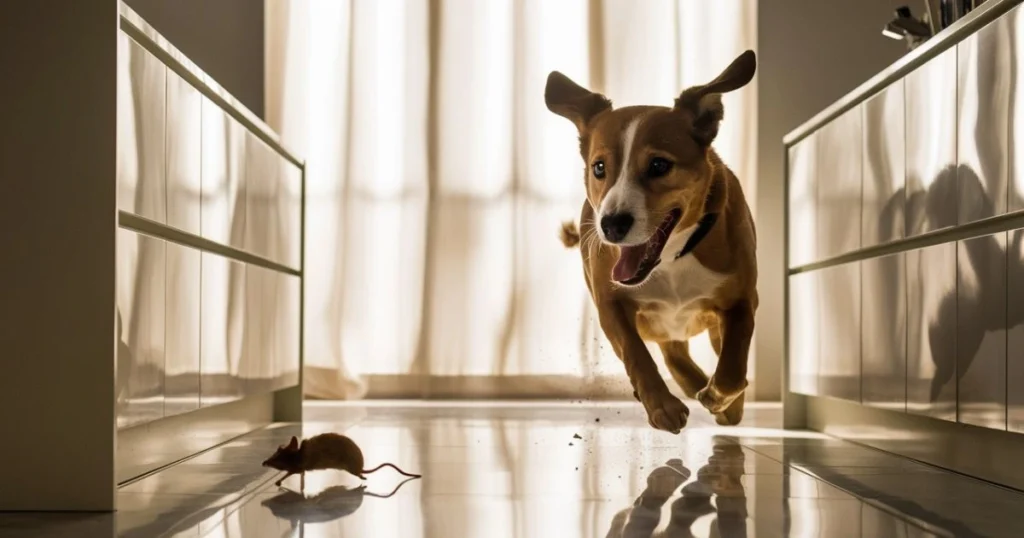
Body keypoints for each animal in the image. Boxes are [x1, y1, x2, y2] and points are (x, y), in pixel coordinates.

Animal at [548, 52, 757, 434]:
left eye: (659, 165)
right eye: (599, 168)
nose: (611, 225)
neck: (673, 258)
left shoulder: (741, 298)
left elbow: (734, 363)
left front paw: (720, 396)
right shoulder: (609, 302)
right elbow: (636, 353)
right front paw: (662, 405)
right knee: (672, 357)